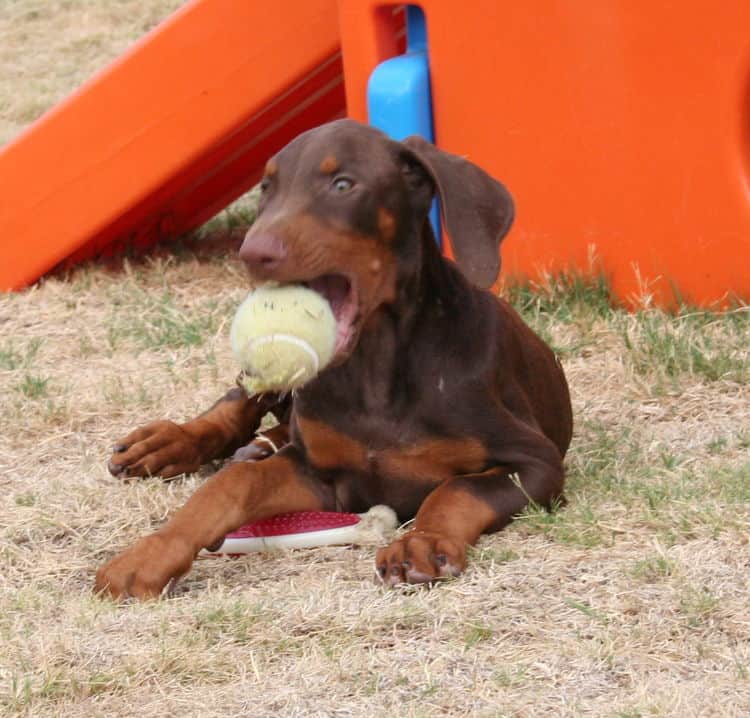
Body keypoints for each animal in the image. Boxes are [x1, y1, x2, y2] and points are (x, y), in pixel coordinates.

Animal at [97, 121, 572, 600]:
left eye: (343, 185)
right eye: (267, 188)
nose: (252, 253)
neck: (375, 364)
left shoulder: (536, 462)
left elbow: (458, 489)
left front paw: (421, 542)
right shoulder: (321, 475)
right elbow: (235, 482)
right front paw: (150, 553)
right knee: (239, 402)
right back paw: (169, 442)